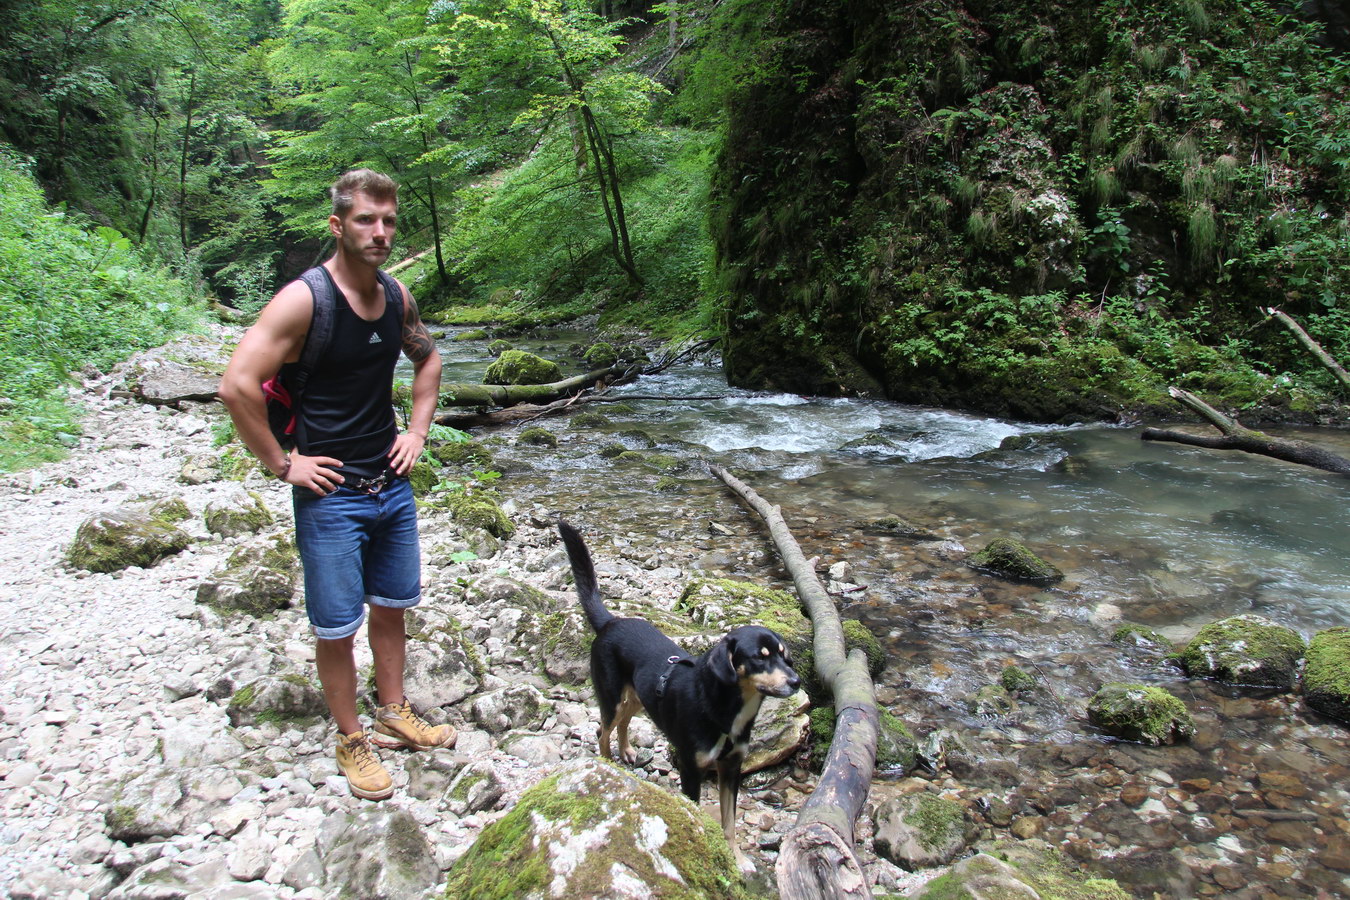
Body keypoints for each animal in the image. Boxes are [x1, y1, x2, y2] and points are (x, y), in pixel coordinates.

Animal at [558, 518, 801, 867]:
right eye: (760, 658)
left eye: (784, 656)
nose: (796, 682)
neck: (724, 710)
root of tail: (610, 622)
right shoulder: (690, 769)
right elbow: (697, 816)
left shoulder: (731, 769)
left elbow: (730, 822)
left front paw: (737, 858)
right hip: (612, 697)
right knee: (602, 730)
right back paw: (609, 764)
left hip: (639, 698)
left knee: (623, 723)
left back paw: (627, 749)